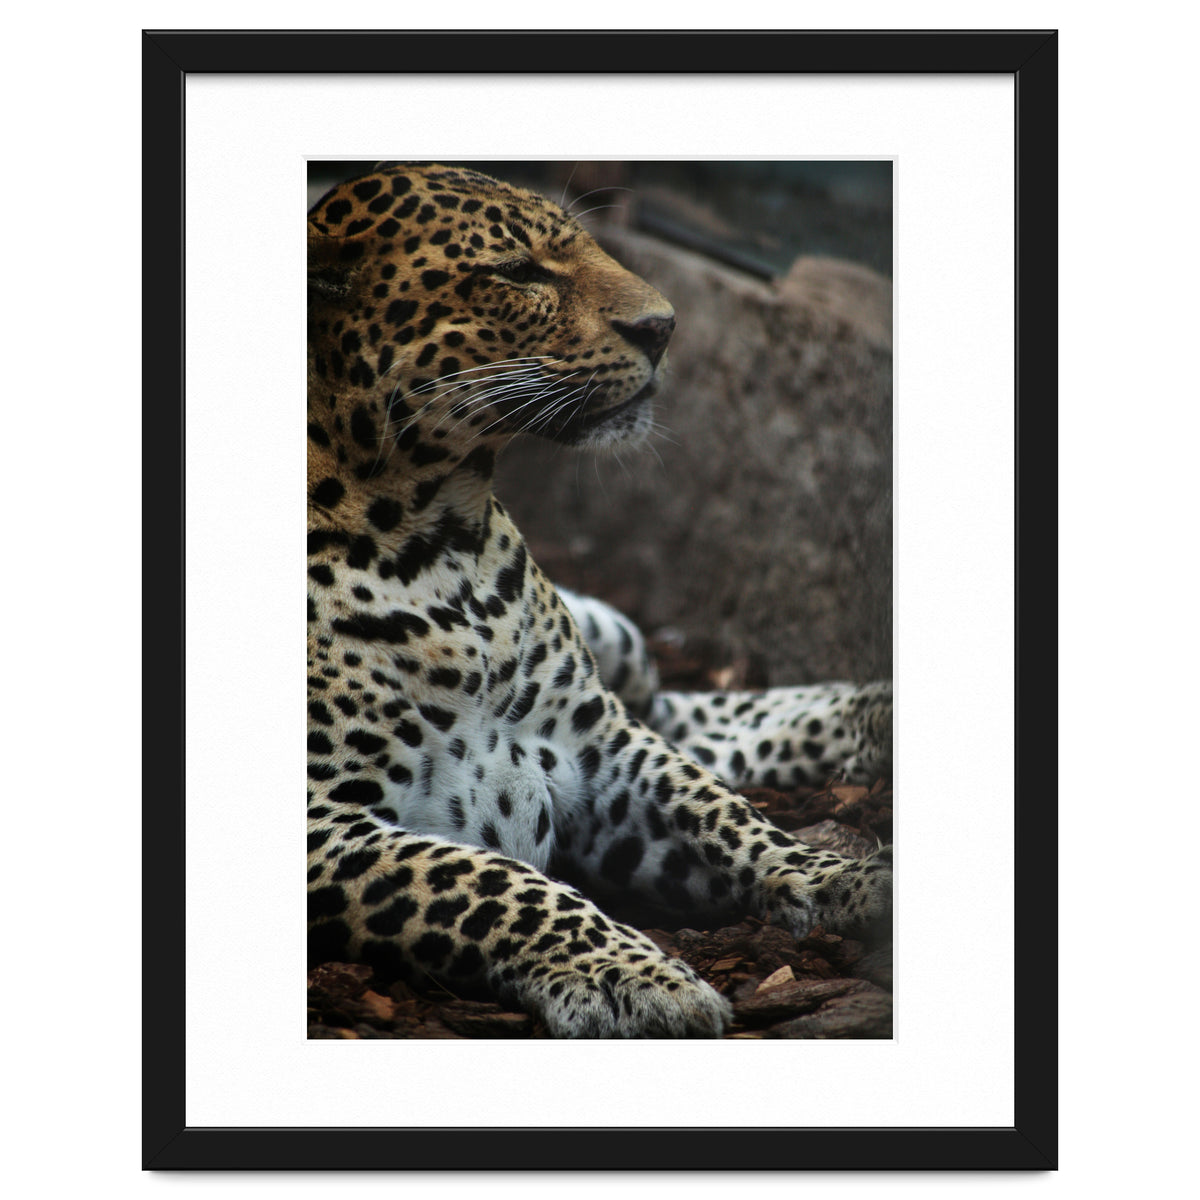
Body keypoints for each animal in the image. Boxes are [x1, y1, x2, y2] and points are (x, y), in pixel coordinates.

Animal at [307, 162, 893, 1038]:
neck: (440, 541)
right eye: (517, 272)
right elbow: (490, 882)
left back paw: (875, 712)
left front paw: (843, 879)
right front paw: (634, 977)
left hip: (619, 651)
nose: (665, 327)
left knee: (681, 714)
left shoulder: (597, 744)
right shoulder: (322, 823)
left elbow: (722, 812)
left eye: (582, 245)